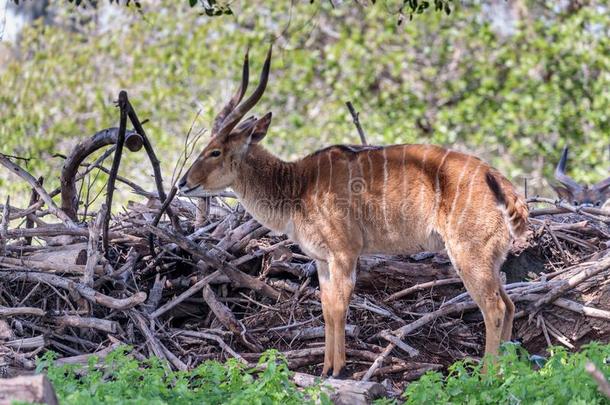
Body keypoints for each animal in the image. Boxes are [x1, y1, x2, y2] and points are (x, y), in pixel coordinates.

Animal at [179, 48, 528, 378]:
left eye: (215, 151)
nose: (183, 182)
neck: (298, 184)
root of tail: (508, 189)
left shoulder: (345, 253)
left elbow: (338, 307)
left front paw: (337, 369)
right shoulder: (322, 260)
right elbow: (325, 307)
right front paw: (324, 369)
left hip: (469, 256)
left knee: (495, 308)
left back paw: (486, 376)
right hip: (489, 261)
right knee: (510, 304)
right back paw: (506, 372)